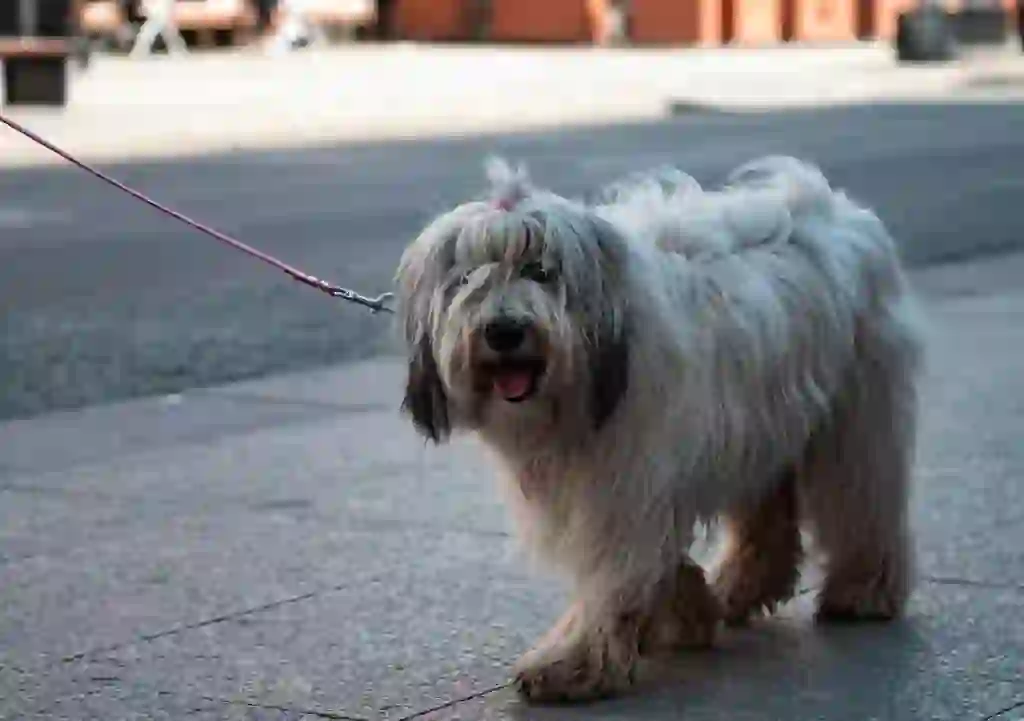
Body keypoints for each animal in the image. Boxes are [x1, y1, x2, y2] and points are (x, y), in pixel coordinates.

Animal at [395, 154, 925, 700]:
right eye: (467, 279)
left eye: (541, 272)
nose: (504, 330)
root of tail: (839, 210)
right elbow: (654, 559)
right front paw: (684, 611)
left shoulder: (628, 480)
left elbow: (617, 568)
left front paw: (575, 659)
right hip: (761, 431)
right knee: (769, 523)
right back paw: (737, 589)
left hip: (855, 418)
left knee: (864, 502)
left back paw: (864, 590)